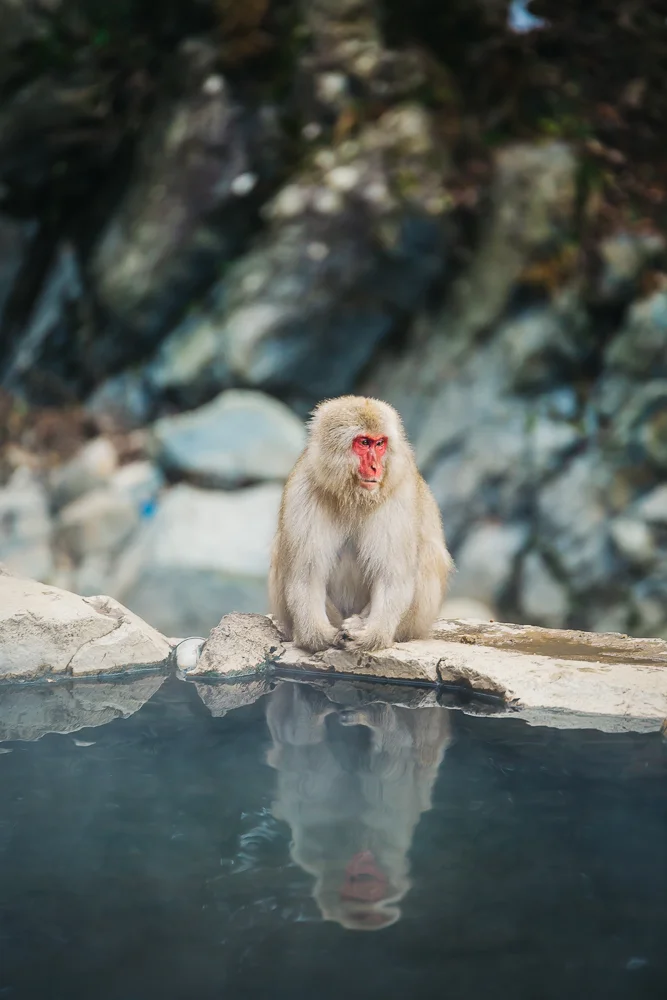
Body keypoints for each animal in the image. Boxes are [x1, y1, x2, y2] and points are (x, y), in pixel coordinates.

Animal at [269, 395, 453, 653]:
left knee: (427, 552)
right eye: (364, 442)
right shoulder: (303, 489)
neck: (354, 497)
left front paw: (370, 636)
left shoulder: (398, 496)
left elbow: (392, 577)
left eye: (380, 443)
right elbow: (306, 575)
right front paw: (318, 635)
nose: (376, 467)